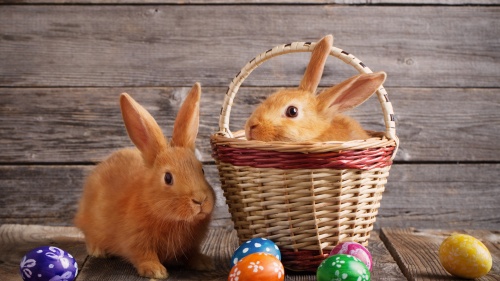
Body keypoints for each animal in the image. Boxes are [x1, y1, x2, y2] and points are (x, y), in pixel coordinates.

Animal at [74, 82, 215, 278]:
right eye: (168, 177)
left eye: (202, 170)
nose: (200, 200)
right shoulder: (136, 240)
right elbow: (143, 255)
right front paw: (156, 271)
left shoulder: (191, 245)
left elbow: (192, 254)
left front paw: (204, 263)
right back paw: (98, 250)